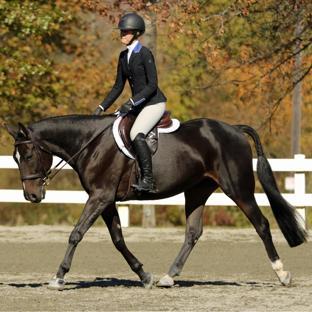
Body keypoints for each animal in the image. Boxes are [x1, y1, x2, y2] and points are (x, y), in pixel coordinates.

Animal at [6, 114, 308, 290]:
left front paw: (59, 277)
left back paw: (283, 274)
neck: (90, 143)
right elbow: (118, 239)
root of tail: (233, 129)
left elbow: (76, 233)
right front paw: (144, 275)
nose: (32, 196)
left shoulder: (100, 196)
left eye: (29, 155)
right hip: (197, 190)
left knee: (262, 224)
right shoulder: (106, 199)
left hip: (238, 189)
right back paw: (168, 277)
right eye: (15, 158)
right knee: (193, 232)